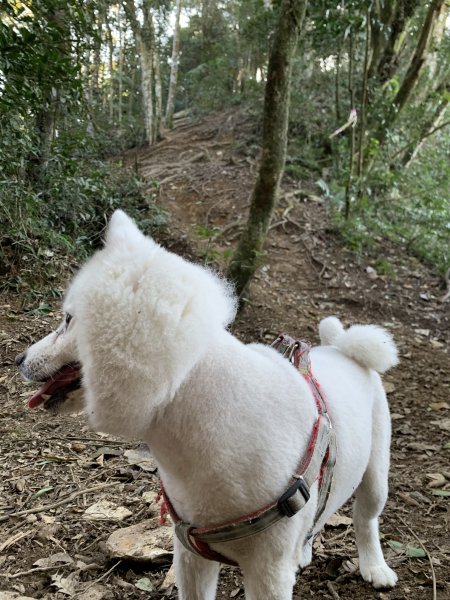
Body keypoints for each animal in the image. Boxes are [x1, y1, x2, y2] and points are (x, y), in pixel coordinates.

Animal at [17, 210, 400, 596]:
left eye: (67, 320)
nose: (19, 359)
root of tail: (341, 348)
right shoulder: (190, 552)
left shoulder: (268, 571)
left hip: (376, 473)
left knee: (366, 519)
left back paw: (375, 567)